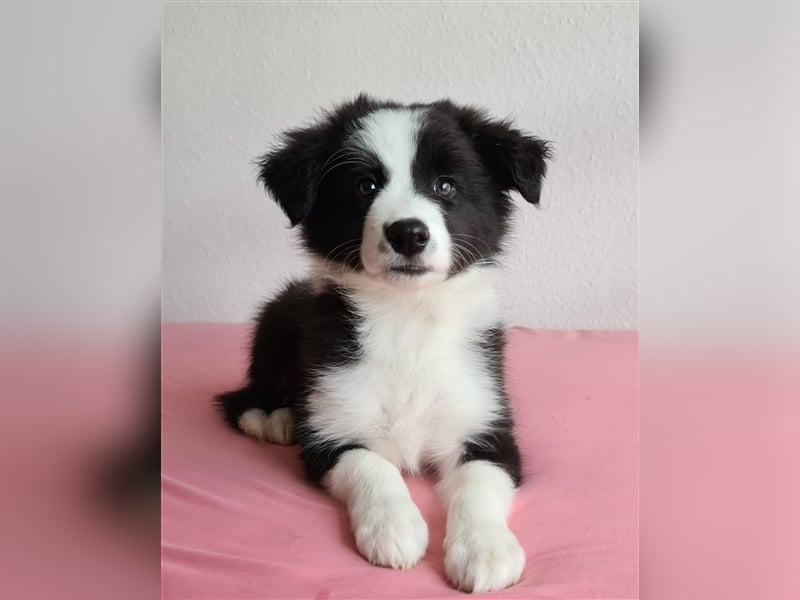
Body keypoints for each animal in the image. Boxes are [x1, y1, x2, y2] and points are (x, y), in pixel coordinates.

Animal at [217, 96, 552, 592]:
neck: (406, 317)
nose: (408, 233)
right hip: (275, 321)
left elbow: (478, 481)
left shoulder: (488, 424)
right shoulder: (332, 433)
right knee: (242, 395)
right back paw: (272, 417)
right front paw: (394, 529)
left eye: (445, 185)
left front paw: (485, 549)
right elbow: (373, 467)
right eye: (365, 185)